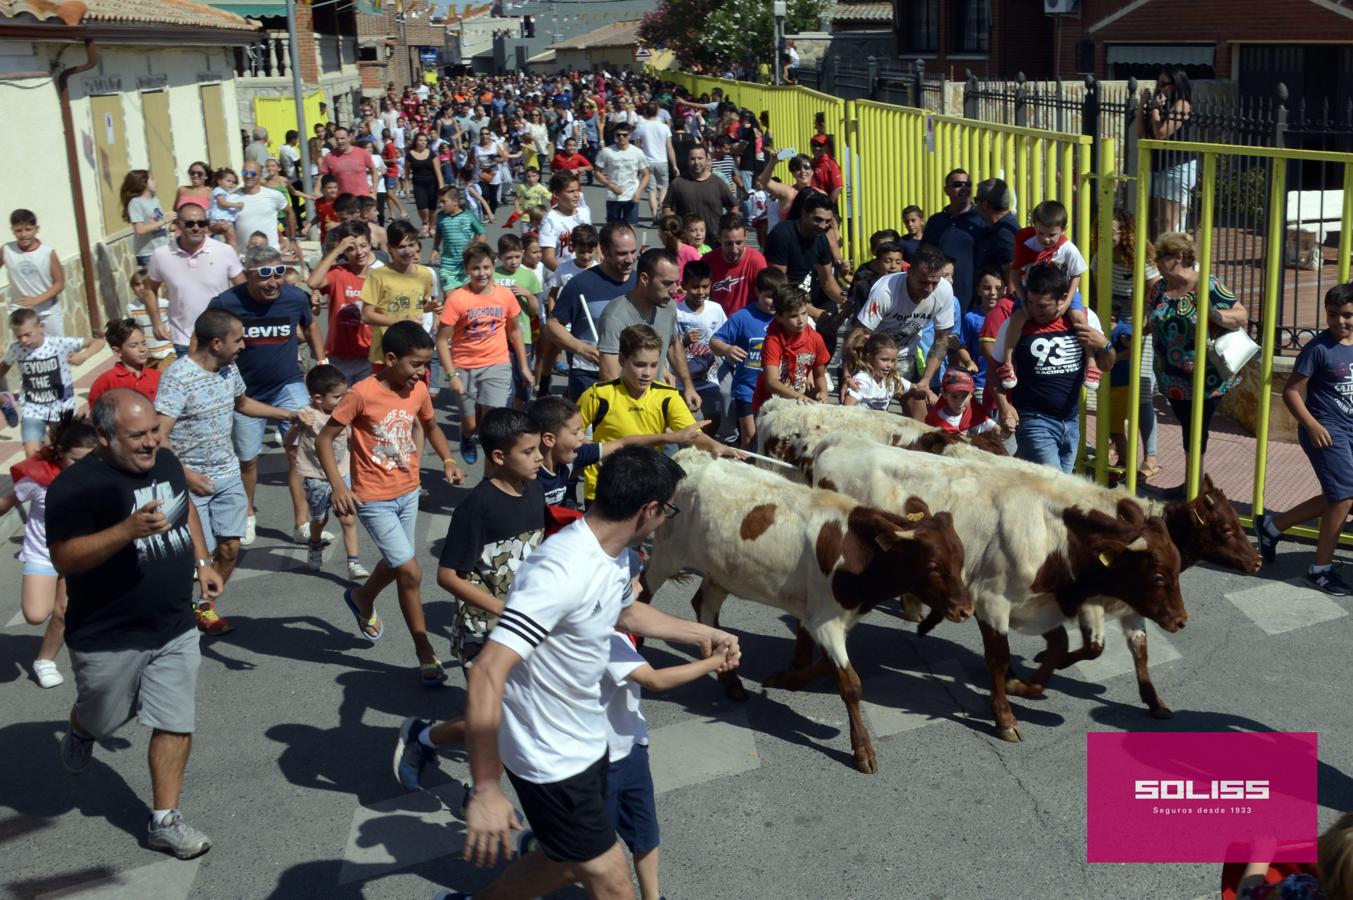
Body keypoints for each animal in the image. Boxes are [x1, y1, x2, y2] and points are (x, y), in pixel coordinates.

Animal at [644, 449, 974, 774]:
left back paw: (731, 682)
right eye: (933, 566)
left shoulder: (829, 617)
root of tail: (689, 456)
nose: (965, 609)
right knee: (644, 593)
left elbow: (828, 665)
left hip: (720, 570)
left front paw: (786, 679)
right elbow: (851, 684)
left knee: (704, 606)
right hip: (667, 554)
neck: (856, 553)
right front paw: (862, 749)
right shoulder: (825, 620)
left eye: (960, 559)